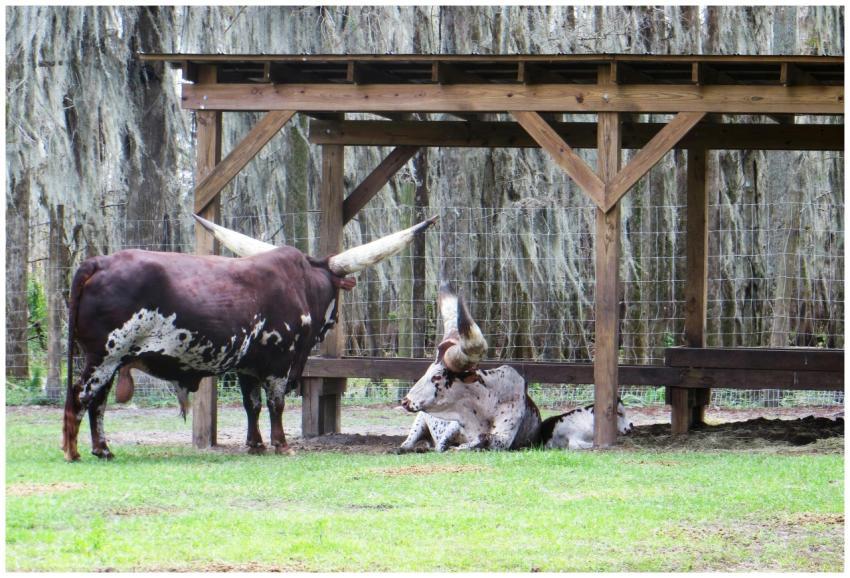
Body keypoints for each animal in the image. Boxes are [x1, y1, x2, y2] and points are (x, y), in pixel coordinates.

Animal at [62, 215, 437, 461]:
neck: (303, 284)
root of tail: (98, 263)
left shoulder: (247, 366)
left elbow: (251, 404)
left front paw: (255, 444)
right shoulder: (280, 363)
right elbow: (276, 403)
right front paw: (281, 444)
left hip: (112, 361)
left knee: (97, 401)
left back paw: (102, 449)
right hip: (105, 355)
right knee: (81, 394)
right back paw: (73, 451)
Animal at [399, 286, 632, 452]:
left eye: (437, 376)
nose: (405, 401)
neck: (484, 402)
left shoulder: (504, 437)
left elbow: (483, 439)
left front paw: (462, 446)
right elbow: (449, 443)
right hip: (419, 423)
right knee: (407, 444)